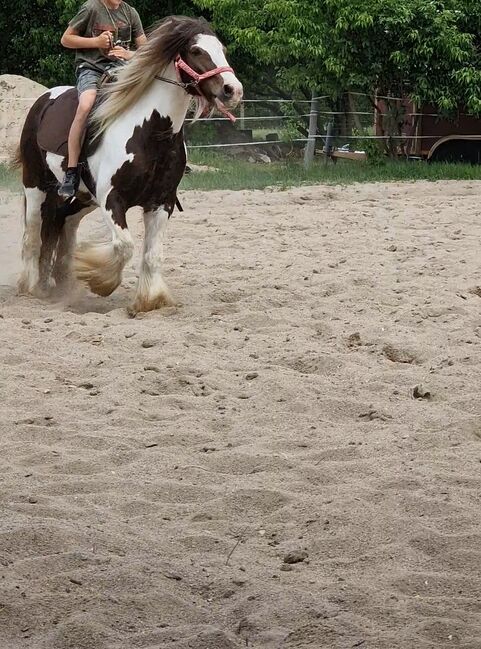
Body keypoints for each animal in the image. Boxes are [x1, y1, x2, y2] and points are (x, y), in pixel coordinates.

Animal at [13, 17, 242, 314]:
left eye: (222, 49)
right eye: (195, 51)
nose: (233, 90)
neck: (150, 132)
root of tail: (42, 101)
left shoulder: (161, 202)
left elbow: (153, 255)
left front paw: (151, 300)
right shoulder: (112, 199)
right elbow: (124, 246)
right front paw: (98, 279)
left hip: (83, 198)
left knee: (65, 227)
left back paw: (62, 284)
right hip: (35, 187)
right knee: (32, 237)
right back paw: (32, 288)